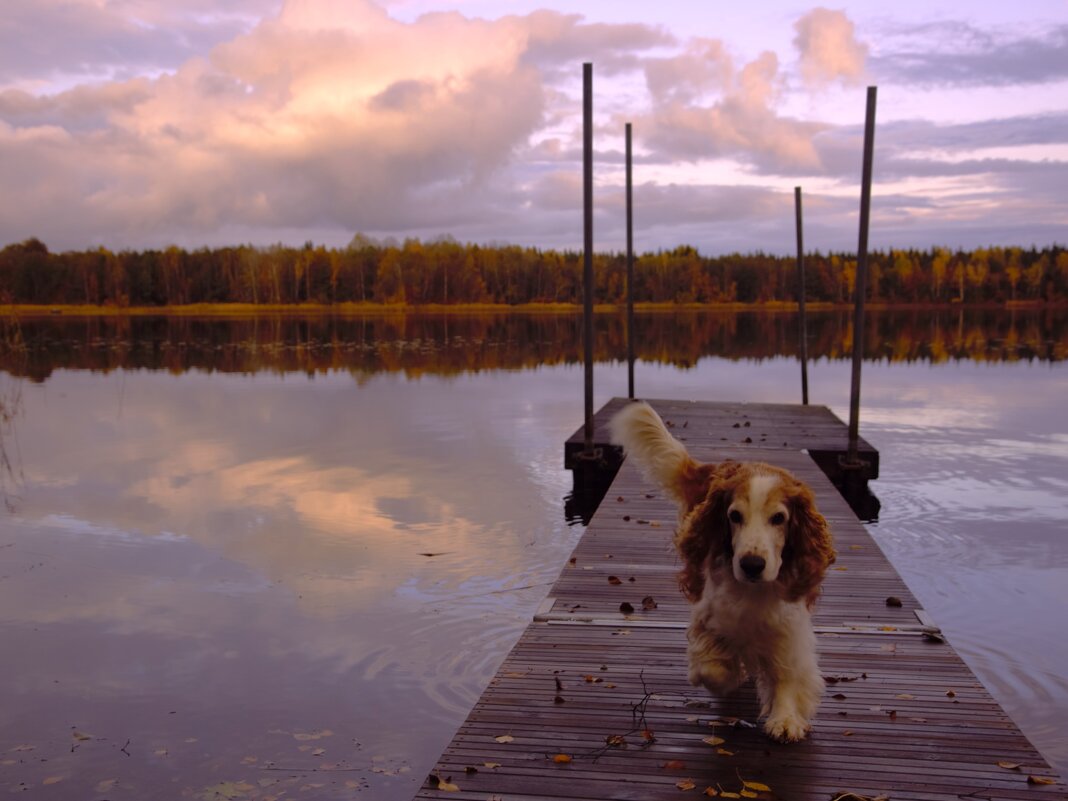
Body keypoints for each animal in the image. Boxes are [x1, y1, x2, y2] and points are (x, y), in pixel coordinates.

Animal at [610, 403, 833, 743]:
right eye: (734, 516)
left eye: (779, 518)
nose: (752, 564)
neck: (753, 591)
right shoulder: (709, 617)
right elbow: (712, 669)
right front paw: (730, 673)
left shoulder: (789, 627)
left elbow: (786, 672)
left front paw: (785, 718)